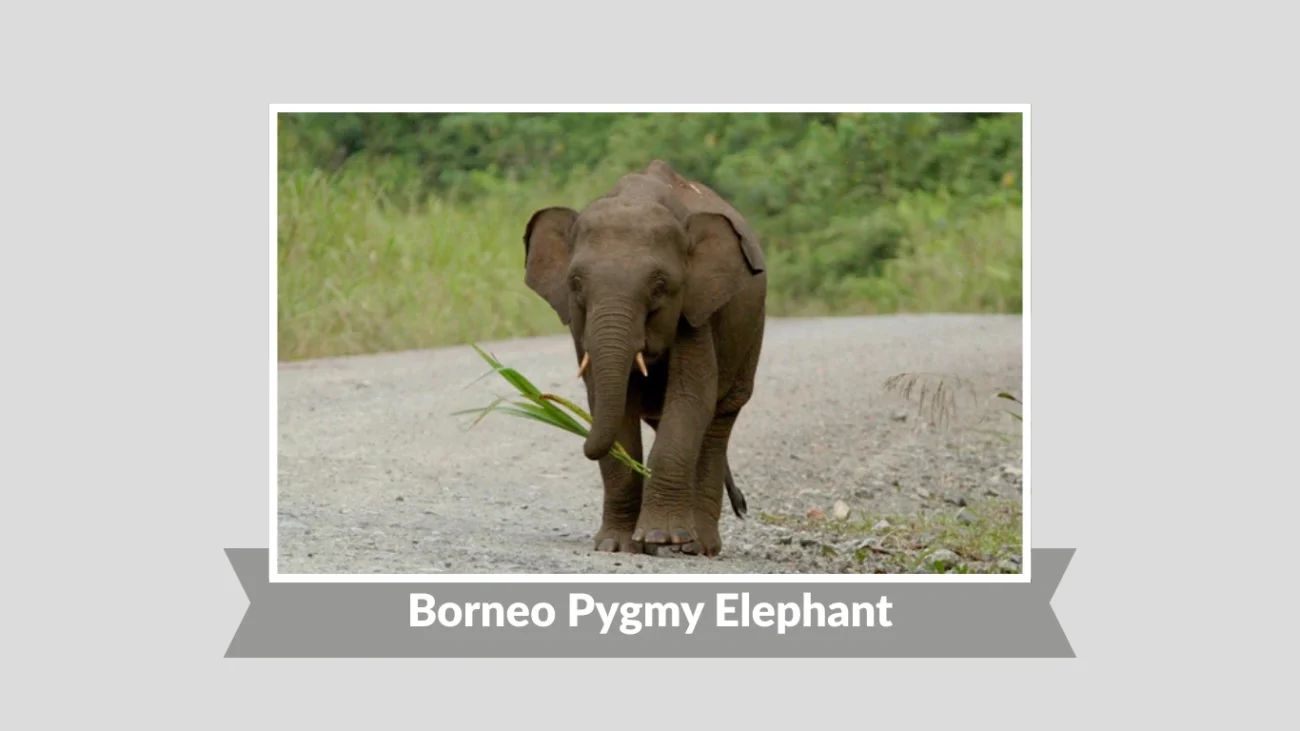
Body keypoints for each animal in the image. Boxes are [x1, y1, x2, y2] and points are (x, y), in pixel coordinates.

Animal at [522, 159, 766, 557]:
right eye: (575, 283)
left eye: (660, 286)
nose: (744, 505)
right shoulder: (579, 326)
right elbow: (612, 405)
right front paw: (615, 544)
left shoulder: (695, 309)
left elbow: (691, 399)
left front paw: (660, 540)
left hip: (751, 334)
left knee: (719, 420)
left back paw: (699, 545)